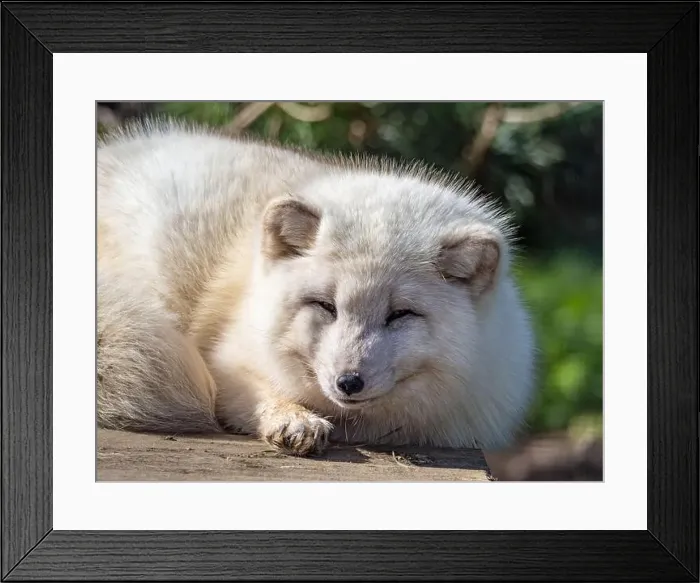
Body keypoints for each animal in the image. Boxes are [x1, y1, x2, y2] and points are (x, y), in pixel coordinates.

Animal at [96, 118, 537, 457]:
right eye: (326, 305)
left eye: (401, 314)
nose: (349, 382)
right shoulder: (223, 360)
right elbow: (252, 390)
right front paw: (293, 420)